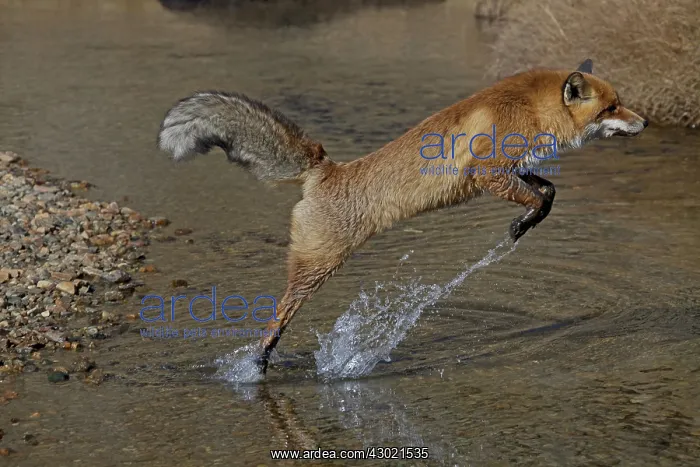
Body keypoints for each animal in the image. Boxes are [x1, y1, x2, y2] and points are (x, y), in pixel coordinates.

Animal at [157, 59, 647, 375]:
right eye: (611, 107)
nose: (644, 123)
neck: (527, 106)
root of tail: (326, 170)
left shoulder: (511, 170)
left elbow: (548, 190)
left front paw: (530, 219)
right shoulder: (487, 172)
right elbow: (537, 200)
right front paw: (521, 225)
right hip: (317, 265)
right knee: (277, 317)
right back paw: (258, 362)